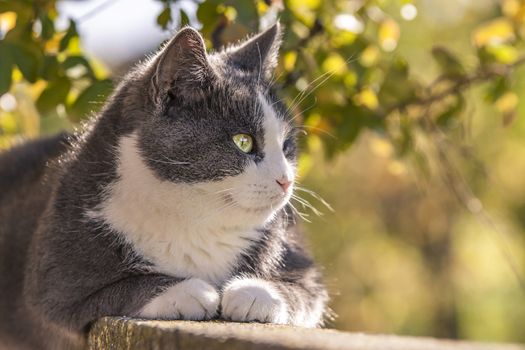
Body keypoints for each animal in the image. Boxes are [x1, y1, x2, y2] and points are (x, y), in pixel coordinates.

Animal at [0, 23, 328, 348]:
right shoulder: (54, 282)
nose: (286, 180)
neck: (195, 218)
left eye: (286, 146)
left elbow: (306, 293)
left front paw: (254, 294)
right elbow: (111, 293)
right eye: (243, 141)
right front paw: (187, 291)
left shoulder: (299, 260)